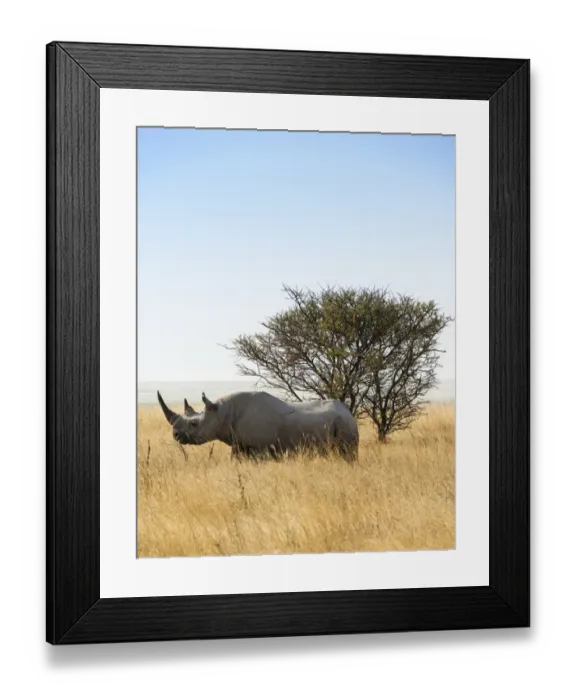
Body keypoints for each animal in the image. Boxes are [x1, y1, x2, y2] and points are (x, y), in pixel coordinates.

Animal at [157, 390, 359, 461]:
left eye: (194, 424)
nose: (176, 435)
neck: (222, 413)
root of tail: (347, 411)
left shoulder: (260, 447)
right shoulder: (240, 444)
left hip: (345, 424)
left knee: (347, 453)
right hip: (342, 421)